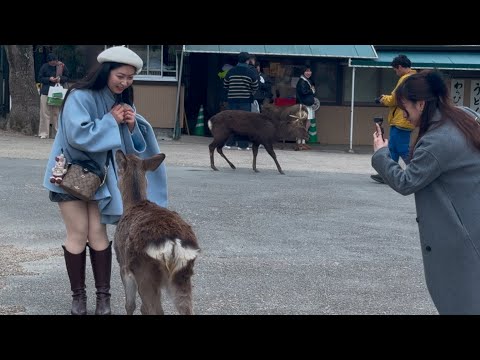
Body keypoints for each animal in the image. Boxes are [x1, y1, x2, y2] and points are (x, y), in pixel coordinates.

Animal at [115, 150, 201, 314]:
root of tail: (173, 242)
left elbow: (130, 304)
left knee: (154, 309)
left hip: (145, 272)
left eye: (118, 171)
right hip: (183, 275)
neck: (133, 204)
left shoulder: (122, 263)